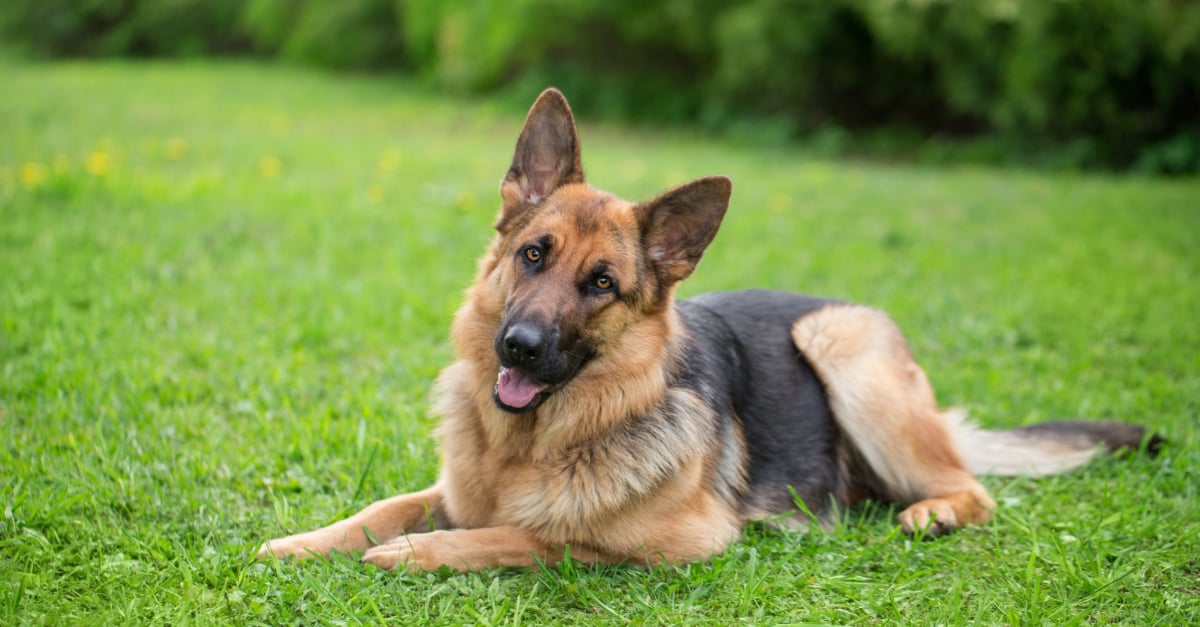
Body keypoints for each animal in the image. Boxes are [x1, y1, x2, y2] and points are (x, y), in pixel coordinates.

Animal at [255, 87, 1161, 571]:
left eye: (602, 285)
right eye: (532, 255)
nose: (519, 348)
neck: (532, 443)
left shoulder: (670, 541)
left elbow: (526, 534)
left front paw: (417, 555)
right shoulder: (449, 489)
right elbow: (384, 506)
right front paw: (302, 541)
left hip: (841, 344)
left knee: (972, 488)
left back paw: (931, 511)